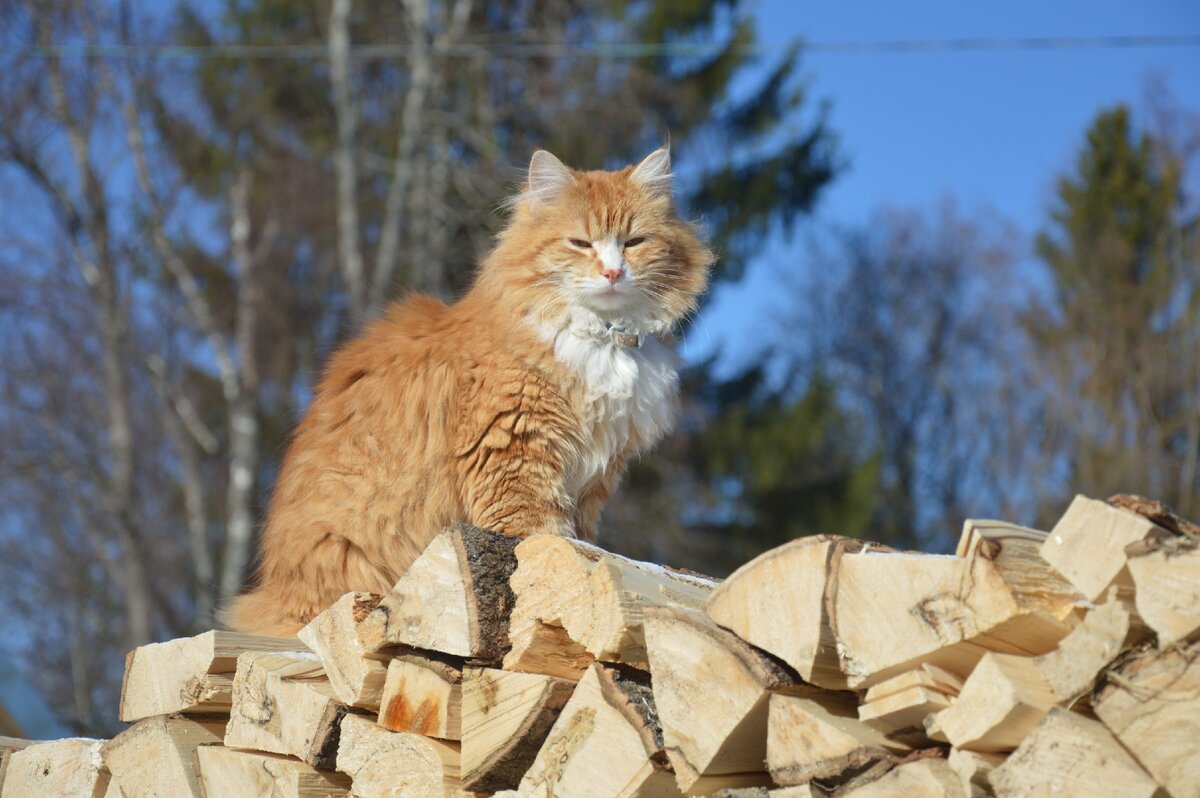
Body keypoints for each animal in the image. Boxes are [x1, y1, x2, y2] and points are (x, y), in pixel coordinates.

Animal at [225, 147, 710, 633]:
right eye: (580, 243)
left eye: (634, 242)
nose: (612, 272)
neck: (602, 339)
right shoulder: (516, 453)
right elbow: (541, 537)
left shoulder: (593, 482)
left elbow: (582, 543)